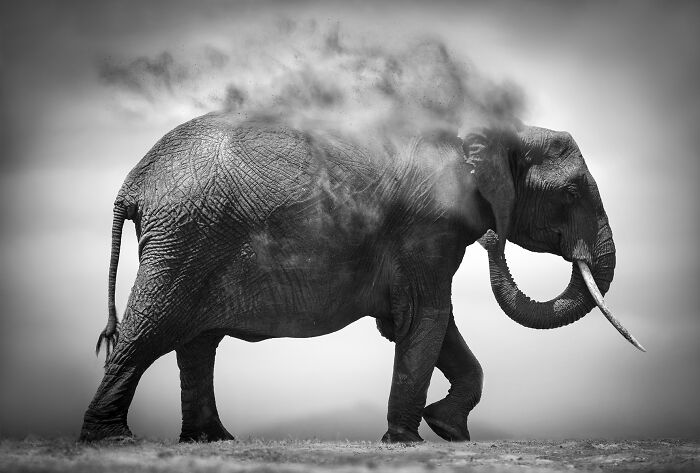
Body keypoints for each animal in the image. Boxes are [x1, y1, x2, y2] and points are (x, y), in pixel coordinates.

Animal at [80, 112, 643, 443]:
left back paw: (213, 440)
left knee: (196, 342)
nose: (493, 239)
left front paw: (447, 430)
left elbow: (425, 324)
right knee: (151, 329)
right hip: (185, 238)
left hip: (190, 238)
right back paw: (113, 440)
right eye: (571, 193)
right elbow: (425, 318)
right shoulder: (426, 226)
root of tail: (134, 182)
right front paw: (408, 442)